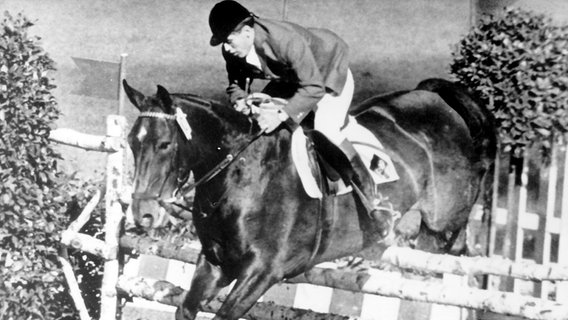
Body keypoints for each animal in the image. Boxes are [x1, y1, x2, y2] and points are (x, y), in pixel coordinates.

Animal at [122, 78, 494, 320]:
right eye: (130, 142)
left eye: (164, 145)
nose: (143, 214)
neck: (240, 173)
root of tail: (436, 98)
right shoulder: (215, 262)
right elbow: (186, 308)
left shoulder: (263, 271)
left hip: (443, 216)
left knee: (451, 241)